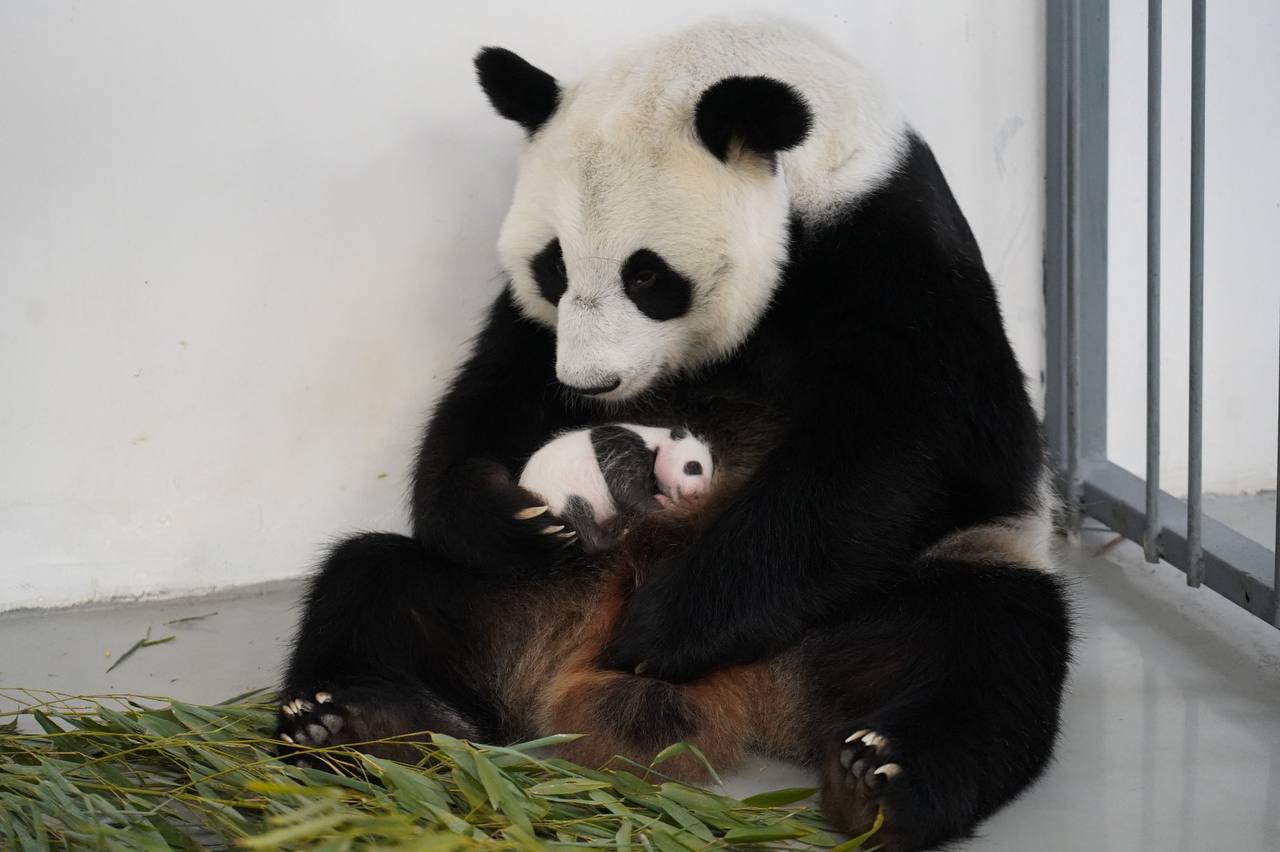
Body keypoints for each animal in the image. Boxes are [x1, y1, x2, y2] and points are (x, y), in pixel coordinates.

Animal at [519, 424, 721, 550]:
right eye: (694, 466)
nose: (698, 496)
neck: (657, 440)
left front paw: (665, 501)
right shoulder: (620, 449)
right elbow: (624, 488)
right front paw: (663, 508)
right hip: (557, 494)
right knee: (578, 516)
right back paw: (616, 537)